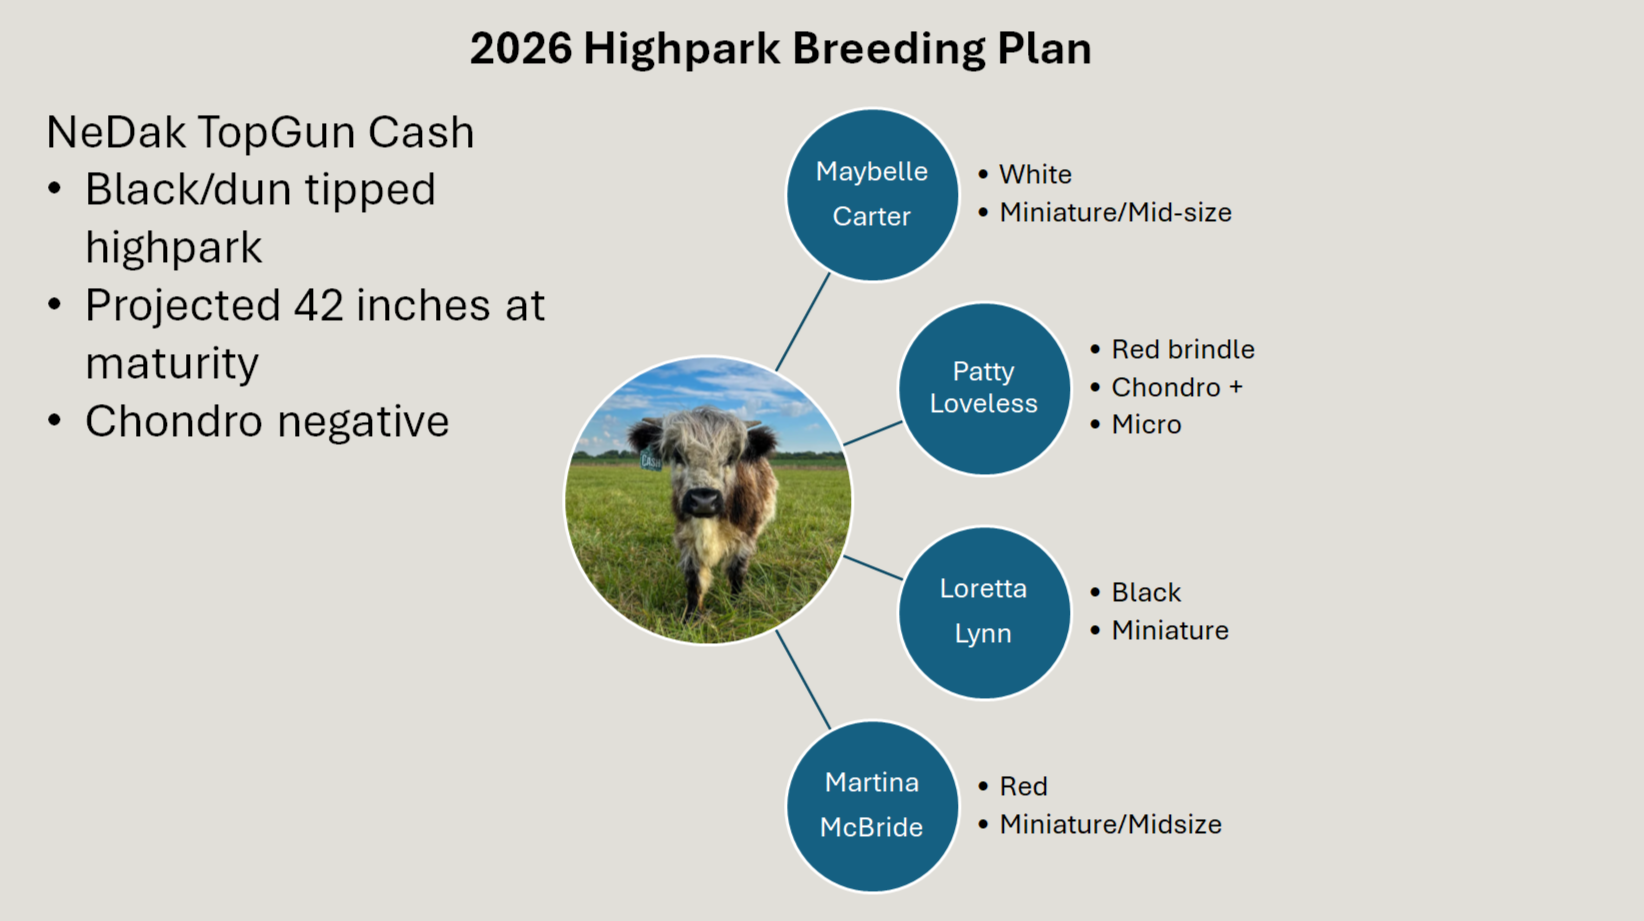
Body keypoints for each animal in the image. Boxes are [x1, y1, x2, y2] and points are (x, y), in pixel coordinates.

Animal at [627, 406, 780, 618]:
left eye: (730, 458)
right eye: (678, 455)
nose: (704, 501)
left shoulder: (745, 539)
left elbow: (736, 573)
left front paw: (735, 606)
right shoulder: (687, 538)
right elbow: (695, 581)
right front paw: (691, 617)